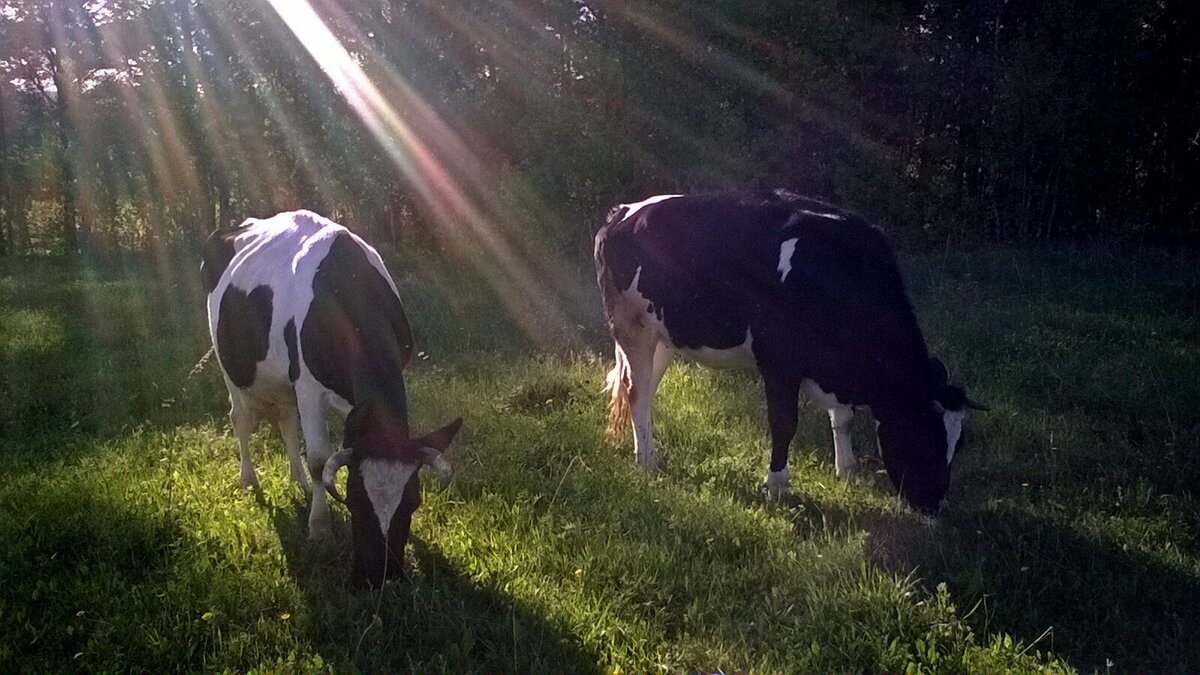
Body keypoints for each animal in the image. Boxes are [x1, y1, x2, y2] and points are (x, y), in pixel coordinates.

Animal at [204, 207, 460, 581]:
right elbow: (319, 459)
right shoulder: (308, 388)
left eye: (413, 501)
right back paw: (249, 479)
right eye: (354, 500)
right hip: (232, 370)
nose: (380, 576)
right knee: (240, 420)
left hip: (284, 382)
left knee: (286, 422)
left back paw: (298, 481)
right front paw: (319, 528)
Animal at [597, 189, 984, 509]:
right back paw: (646, 460)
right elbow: (784, 422)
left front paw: (847, 470)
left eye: (959, 443)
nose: (935, 503)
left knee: (644, 389)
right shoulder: (779, 361)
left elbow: (843, 418)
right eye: (925, 436)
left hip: (664, 335)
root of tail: (624, 211)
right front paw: (777, 484)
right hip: (632, 327)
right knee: (636, 390)